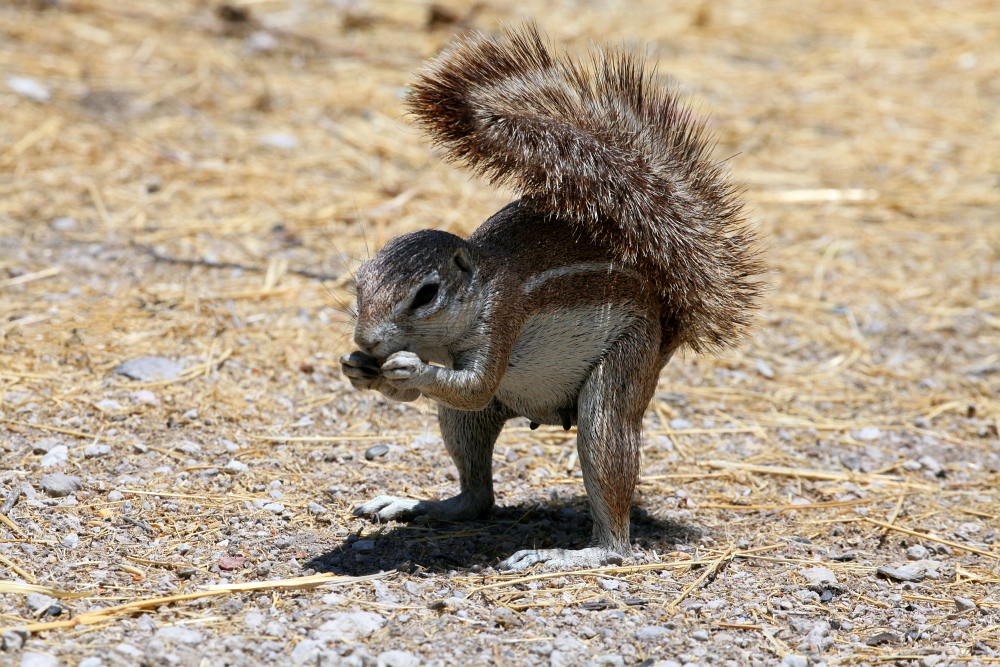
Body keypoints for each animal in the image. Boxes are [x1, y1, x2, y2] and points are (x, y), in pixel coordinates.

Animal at [340, 23, 760, 572]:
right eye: (359, 282)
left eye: (426, 294)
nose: (367, 341)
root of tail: (664, 322)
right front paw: (357, 368)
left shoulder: (503, 319)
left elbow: (473, 384)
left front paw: (409, 368)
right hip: (466, 424)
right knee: (477, 497)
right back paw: (418, 504)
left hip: (619, 379)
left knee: (614, 524)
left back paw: (568, 554)